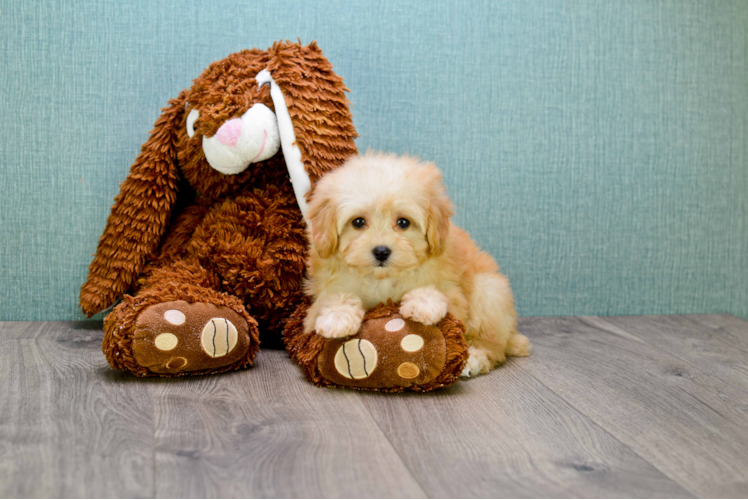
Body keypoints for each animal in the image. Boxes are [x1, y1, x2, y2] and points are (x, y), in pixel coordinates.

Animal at [300, 151, 528, 376]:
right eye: (358, 222)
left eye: (403, 223)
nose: (381, 251)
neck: (382, 279)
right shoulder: (320, 298)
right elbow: (333, 298)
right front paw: (338, 317)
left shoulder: (453, 295)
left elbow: (439, 295)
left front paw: (423, 303)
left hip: (489, 293)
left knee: (491, 345)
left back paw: (475, 358)